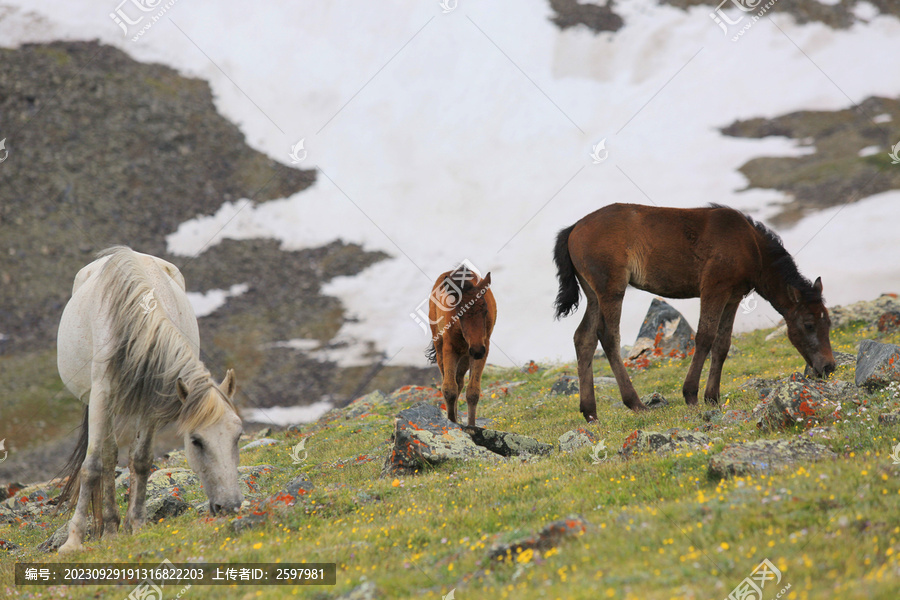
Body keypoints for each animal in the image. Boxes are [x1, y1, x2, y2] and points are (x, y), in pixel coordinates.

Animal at [58, 247, 244, 552]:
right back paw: (109, 528)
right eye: (196, 441)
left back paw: (117, 525)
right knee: (107, 455)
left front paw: (138, 525)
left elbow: (142, 460)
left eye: (238, 436)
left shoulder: (152, 401)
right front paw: (73, 541)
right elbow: (92, 465)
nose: (229, 506)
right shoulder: (101, 395)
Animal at [426, 266, 496, 426]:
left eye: (485, 311)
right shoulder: (449, 348)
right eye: (460, 313)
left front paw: (470, 426)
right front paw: (452, 423)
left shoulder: (484, 348)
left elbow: (472, 391)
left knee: (459, 382)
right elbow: (448, 388)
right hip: (440, 348)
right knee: (452, 382)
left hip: (465, 357)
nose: (477, 350)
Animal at [556, 204, 836, 420]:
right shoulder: (714, 287)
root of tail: (573, 229)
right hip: (611, 288)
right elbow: (704, 337)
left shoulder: (733, 296)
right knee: (608, 336)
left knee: (584, 338)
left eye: (829, 323)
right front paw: (691, 394)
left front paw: (712, 397)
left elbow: (722, 344)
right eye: (808, 324)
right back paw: (635, 403)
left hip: (593, 294)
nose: (828, 367)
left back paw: (590, 412)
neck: (750, 246)